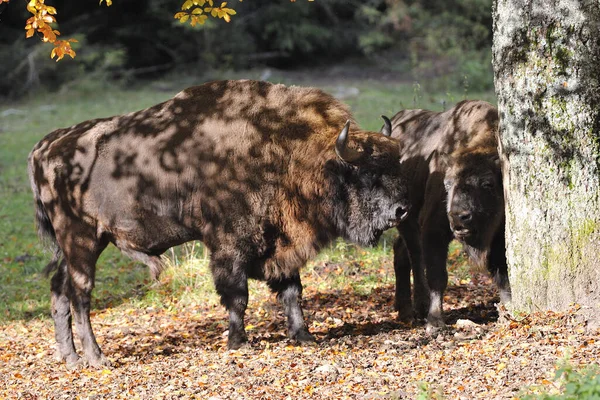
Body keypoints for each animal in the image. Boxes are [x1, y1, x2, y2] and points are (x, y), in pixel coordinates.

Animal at [28, 79, 412, 368]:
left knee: (59, 290)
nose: (402, 210)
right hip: (82, 240)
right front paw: (239, 342)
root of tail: (44, 148)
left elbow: (292, 291)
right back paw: (96, 358)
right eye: (368, 173)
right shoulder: (229, 246)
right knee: (80, 294)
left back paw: (70, 358)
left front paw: (304, 336)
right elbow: (237, 296)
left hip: (80, 246)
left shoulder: (281, 242)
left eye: (396, 165)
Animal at [382, 99, 508, 324]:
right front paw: (435, 321)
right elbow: (437, 276)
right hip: (406, 219)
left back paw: (404, 309)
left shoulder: (499, 233)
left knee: (401, 251)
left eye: (488, 183)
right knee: (415, 255)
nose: (459, 217)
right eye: (447, 184)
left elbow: (501, 270)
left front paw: (509, 308)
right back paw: (416, 309)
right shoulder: (434, 229)